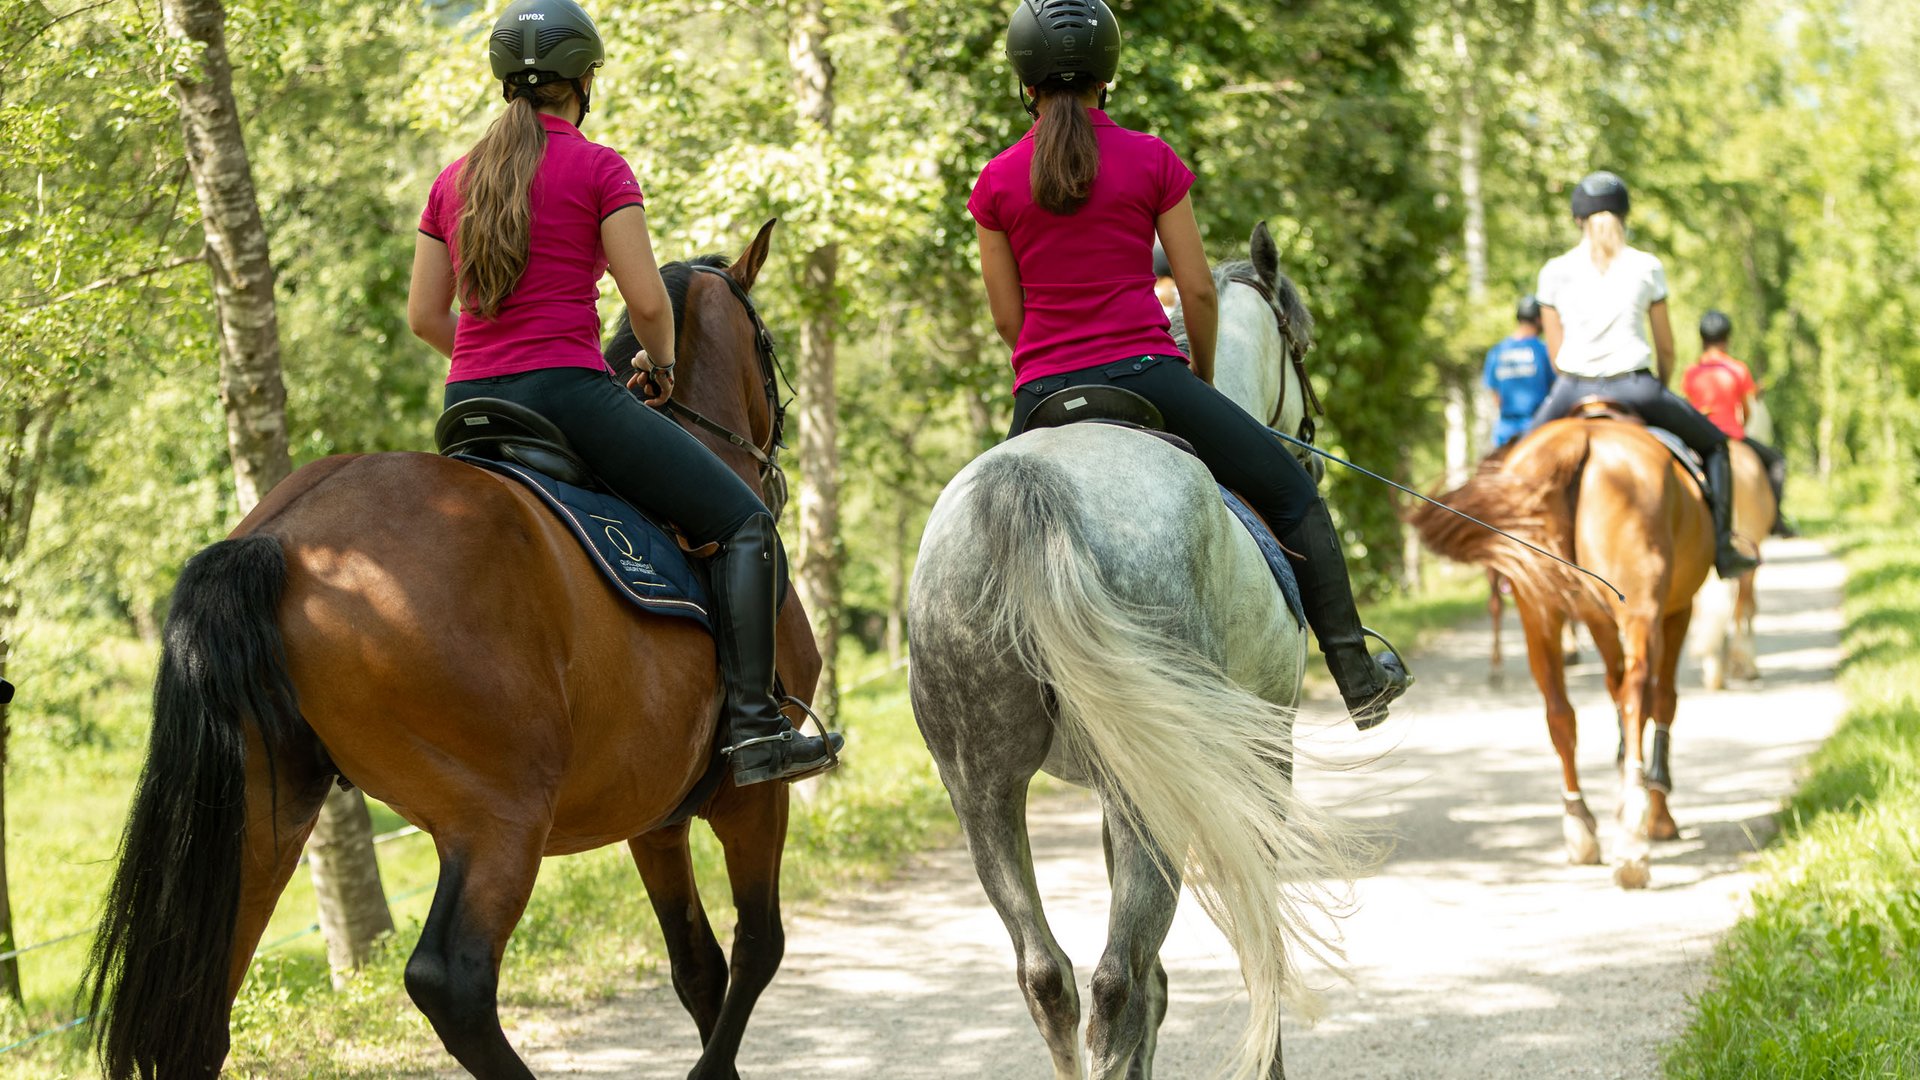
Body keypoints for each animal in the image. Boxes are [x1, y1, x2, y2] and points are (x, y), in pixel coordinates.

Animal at [82, 222, 814, 1068]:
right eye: (766, 346)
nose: (777, 460)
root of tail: (281, 538)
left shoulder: (655, 815)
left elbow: (700, 967)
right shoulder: (752, 797)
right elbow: (759, 949)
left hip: (261, 819)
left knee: (203, 1014)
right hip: (498, 815)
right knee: (451, 982)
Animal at [910, 222, 1351, 1068]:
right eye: (1303, 343)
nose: (1310, 454)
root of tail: (1026, 487)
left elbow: (1154, 979)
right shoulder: (1263, 753)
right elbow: (1258, 937)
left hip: (984, 785)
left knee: (1053, 975)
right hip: (1154, 774)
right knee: (1117, 977)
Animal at [1413, 411, 1712, 883]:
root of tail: (1580, 438)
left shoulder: (1598, 620)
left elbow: (1615, 691)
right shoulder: (1675, 611)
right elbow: (1660, 701)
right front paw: (1660, 813)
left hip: (1538, 610)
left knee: (1560, 712)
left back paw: (1580, 825)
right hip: (1640, 610)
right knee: (1637, 695)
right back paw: (1633, 831)